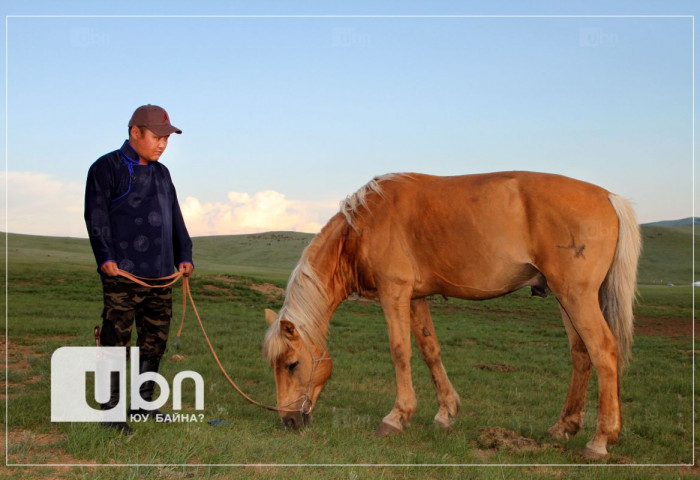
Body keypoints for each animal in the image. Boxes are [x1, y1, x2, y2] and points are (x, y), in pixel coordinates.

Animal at [262, 171, 640, 460]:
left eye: (292, 364)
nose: (288, 421)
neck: (360, 228)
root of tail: (609, 197)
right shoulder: (415, 298)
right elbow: (430, 351)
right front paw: (445, 412)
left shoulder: (394, 292)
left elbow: (400, 351)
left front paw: (397, 417)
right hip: (565, 299)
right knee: (581, 354)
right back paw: (564, 426)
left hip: (577, 297)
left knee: (604, 351)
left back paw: (600, 440)